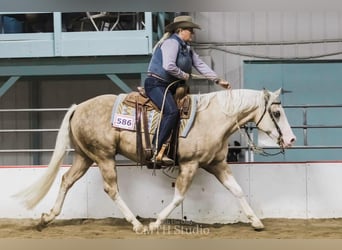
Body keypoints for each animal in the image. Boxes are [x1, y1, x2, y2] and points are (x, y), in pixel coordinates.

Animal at [14, 88, 296, 232]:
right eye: (276, 113)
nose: (291, 139)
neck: (214, 117)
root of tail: (78, 107)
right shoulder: (190, 165)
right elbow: (179, 197)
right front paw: (156, 223)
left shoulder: (217, 164)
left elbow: (237, 190)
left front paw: (256, 221)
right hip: (104, 156)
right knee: (111, 188)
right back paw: (137, 224)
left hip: (85, 157)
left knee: (65, 180)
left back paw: (47, 218)